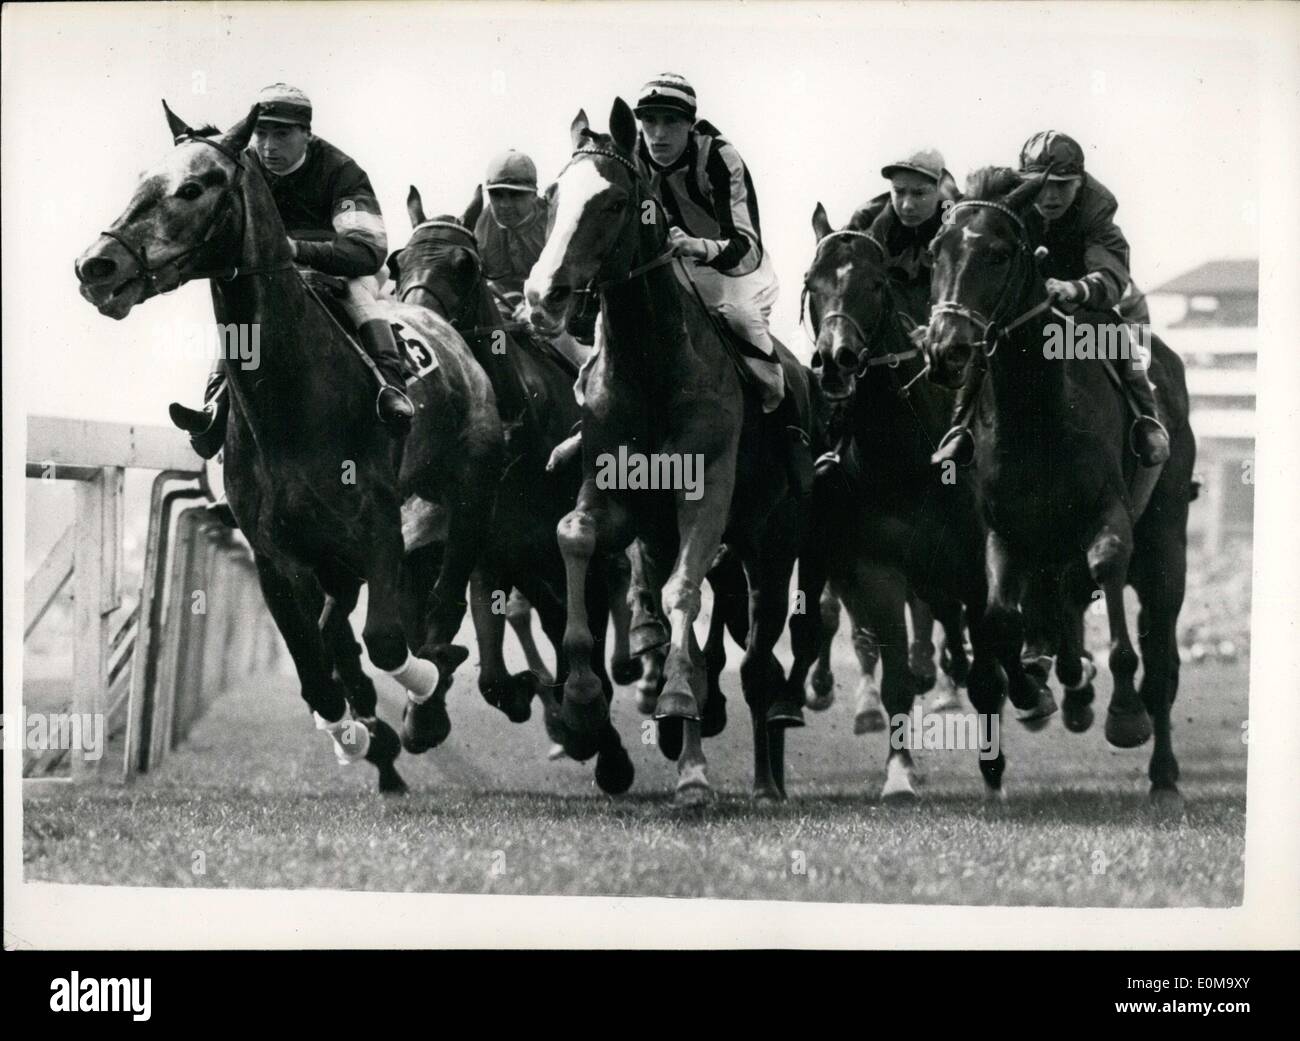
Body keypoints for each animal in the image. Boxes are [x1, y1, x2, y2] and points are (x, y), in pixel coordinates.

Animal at [73, 103, 504, 790]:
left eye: (194, 187)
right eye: (143, 177)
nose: (97, 266)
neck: (292, 400)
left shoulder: (379, 523)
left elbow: (388, 641)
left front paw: (418, 695)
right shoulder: (275, 551)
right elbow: (314, 672)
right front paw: (357, 736)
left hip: (468, 489)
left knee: (444, 595)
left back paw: (429, 699)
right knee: (337, 632)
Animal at [384, 198, 634, 790]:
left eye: (465, 266)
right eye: (396, 262)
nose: (412, 336)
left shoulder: (568, 546)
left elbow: (583, 636)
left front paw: (593, 731)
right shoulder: (490, 552)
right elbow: (492, 674)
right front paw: (529, 698)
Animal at [525, 101, 811, 805]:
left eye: (614, 202)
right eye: (552, 197)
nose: (542, 298)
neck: (654, 364)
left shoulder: (705, 490)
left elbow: (686, 591)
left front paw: (681, 712)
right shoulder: (616, 495)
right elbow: (574, 535)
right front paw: (582, 699)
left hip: (775, 546)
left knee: (757, 661)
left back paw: (761, 779)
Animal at [795, 205, 1060, 805]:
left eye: (875, 284)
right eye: (811, 284)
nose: (835, 361)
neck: (897, 456)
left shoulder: (973, 564)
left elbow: (992, 654)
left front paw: (995, 766)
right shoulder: (877, 568)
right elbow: (893, 669)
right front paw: (898, 773)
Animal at [930, 164, 1190, 810]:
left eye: (998, 254)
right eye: (935, 250)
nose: (946, 348)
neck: (1036, 413)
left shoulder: (1108, 515)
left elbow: (1109, 574)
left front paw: (1123, 713)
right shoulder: (1004, 531)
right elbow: (1000, 620)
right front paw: (1030, 690)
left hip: (1166, 540)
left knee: (1161, 657)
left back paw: (1163, 772)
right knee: (1062, 606)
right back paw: (1067, 681)